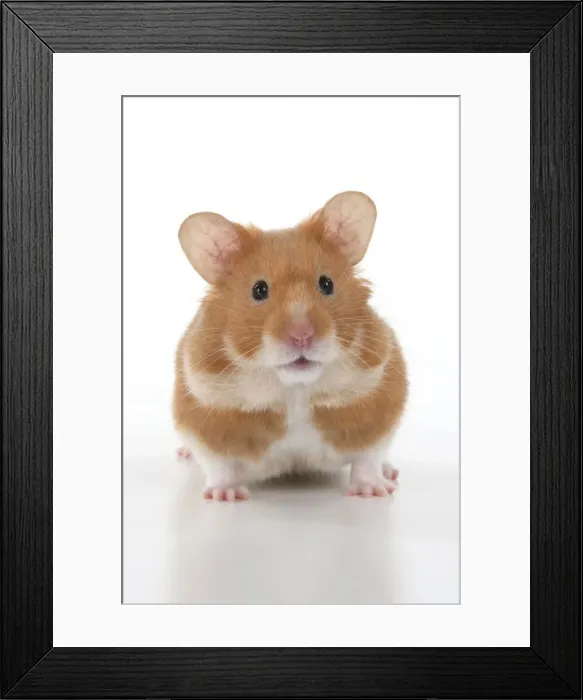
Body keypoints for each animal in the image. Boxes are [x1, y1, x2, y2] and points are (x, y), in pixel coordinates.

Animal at [173, 192, 408, 501]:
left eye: (326, 284)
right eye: (259, 290)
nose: (302, 336)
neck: (295, 390)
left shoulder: (380, 409)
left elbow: (368, 459)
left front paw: (374, 491)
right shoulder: (203, 418)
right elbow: (219, 465)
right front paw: (226, 495)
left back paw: (390, 472)